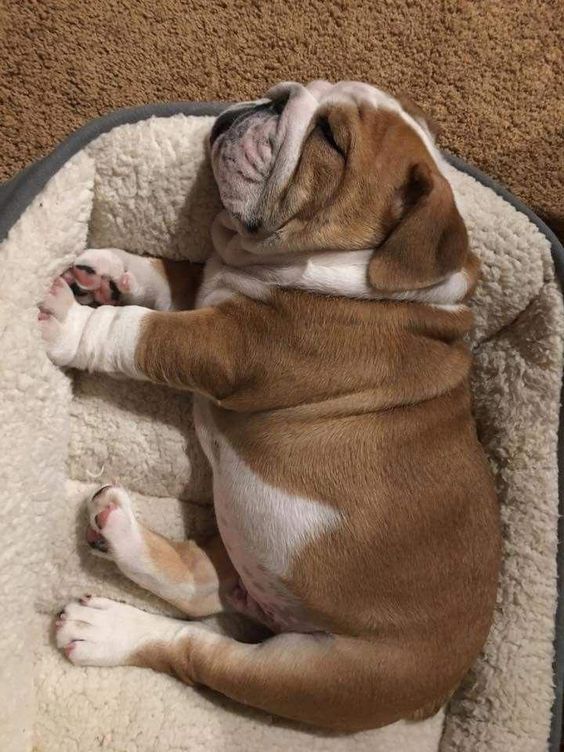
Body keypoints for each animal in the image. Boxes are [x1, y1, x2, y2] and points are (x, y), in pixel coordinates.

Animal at [39, 81, 500, 728]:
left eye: (329, 137)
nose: (277, 97)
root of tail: (432, 696)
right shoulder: (211, 291)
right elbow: (168, 276)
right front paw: (111, 269)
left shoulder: (230, 346)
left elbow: (142, 332)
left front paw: (71, 325)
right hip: (247, 552)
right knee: (199, 588)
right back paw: (118, 532)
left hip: (314, 675)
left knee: (195, 649)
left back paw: (104, 629)